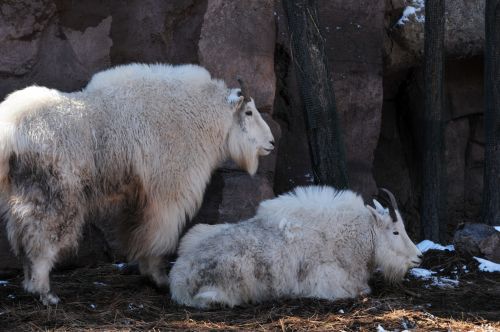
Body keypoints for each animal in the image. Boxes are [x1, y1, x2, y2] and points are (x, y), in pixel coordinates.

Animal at [0, 63, 274, 304]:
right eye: (249, 112)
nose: (270, 143)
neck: (198, 115)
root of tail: (10, 131)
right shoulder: (169, 192)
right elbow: (159, 236)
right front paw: (159, 278)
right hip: (54, 193)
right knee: (42, 238)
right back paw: (46, 293)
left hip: (22, 192)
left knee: (22, 236)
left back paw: (30, 285)